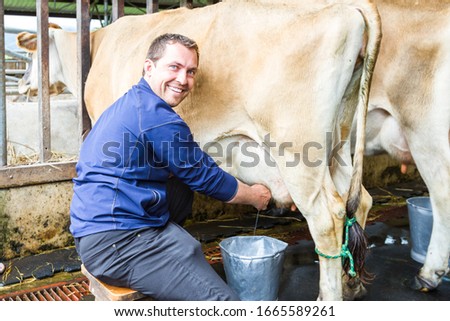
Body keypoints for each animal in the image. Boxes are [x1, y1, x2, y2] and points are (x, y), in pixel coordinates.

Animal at [14, 0, 380, 300]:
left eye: (30, 57)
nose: (19, 85)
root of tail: (347, 7)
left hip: (299, 152)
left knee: (327, 219)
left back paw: (328, 297)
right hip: (338, 144)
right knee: (359, 200)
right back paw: (351, 285)